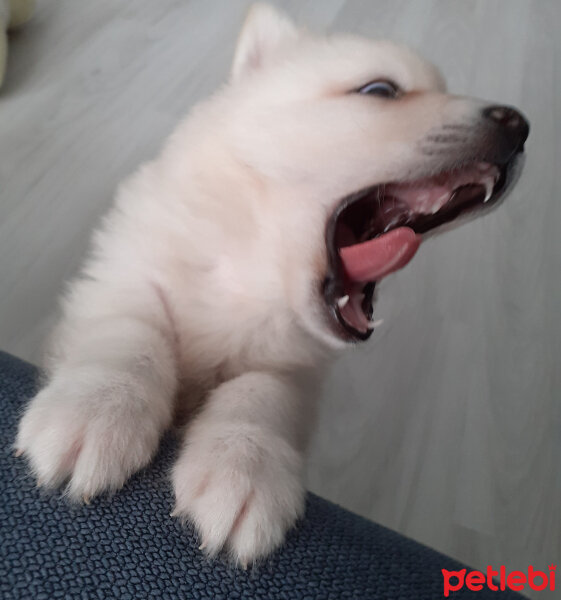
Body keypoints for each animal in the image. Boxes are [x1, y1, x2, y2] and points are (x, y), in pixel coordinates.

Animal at [15, 2, 528, 564]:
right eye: (380, 91)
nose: (521, 124)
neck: (253, 265)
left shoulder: (296, 369)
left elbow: (261, 392)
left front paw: (243, 468)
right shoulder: (122, 276)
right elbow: (133, 334)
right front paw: (96, 409)